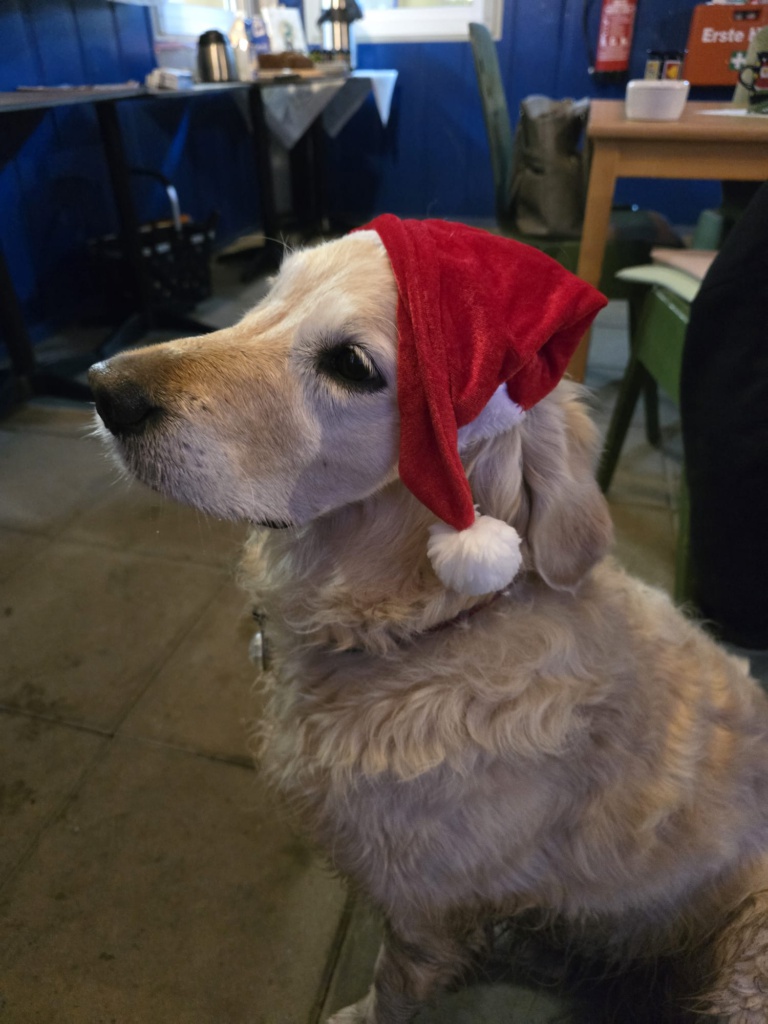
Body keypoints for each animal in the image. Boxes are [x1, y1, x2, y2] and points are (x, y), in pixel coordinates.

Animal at [90, 223, 768, 1023]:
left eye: (351, 365)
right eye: (268, 299)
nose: (103, 388)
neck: (428, 629)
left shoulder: (423, 910)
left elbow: (392, 984)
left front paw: (355, 1014)